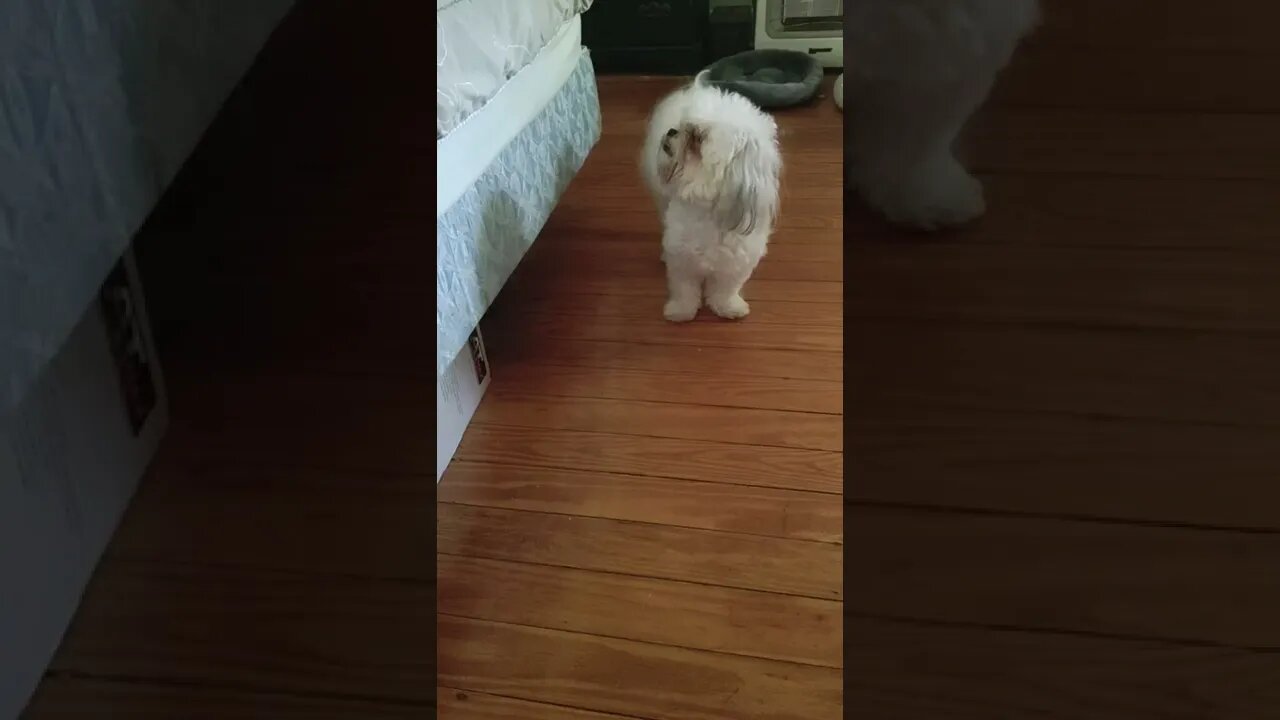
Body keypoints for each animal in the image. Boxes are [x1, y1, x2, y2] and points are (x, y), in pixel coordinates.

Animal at [640, 74, 778, 320]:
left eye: (697, 137)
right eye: (682, 125)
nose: (671, 131)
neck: (708, 214)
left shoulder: (735, 264)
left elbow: (725, 290)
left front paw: (729, 308)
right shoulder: (682, 260)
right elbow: (684, 289)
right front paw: (680, 312)